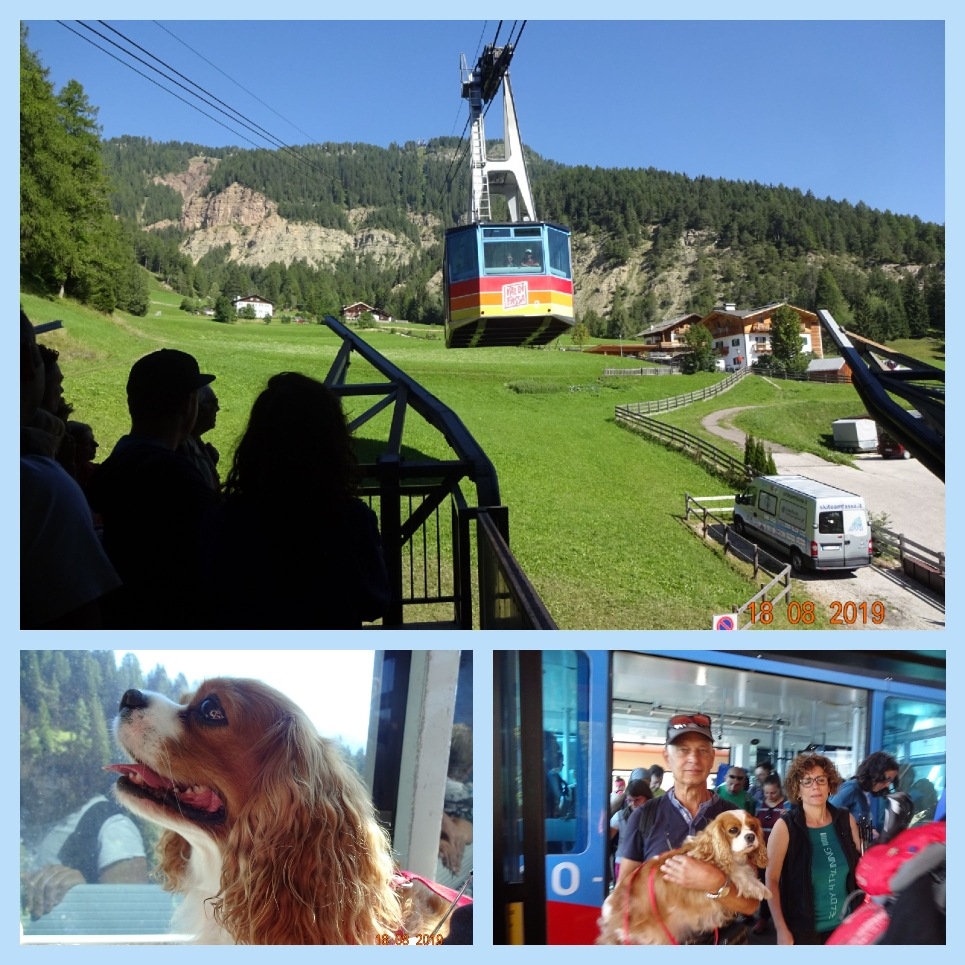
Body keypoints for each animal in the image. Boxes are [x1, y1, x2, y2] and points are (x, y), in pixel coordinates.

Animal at [596, 804, 768, 940]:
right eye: (733, 830)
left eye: (753, 827)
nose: (751, 836)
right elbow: (735, 872)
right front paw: (757, 887)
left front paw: (758, 885)